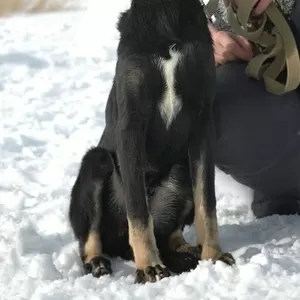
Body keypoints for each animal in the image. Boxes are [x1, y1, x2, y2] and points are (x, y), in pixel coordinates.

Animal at [68, 0, 234, 284]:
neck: (165, 12)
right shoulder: (131, 124)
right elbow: (137, 209)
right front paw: (149, 266)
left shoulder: (203, 121)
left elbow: (207, 200)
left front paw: (213, 256)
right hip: (96, 162)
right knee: (90, 238)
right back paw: (97, 262)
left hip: (182, 169)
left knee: (169, 234)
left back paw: (185, 250)